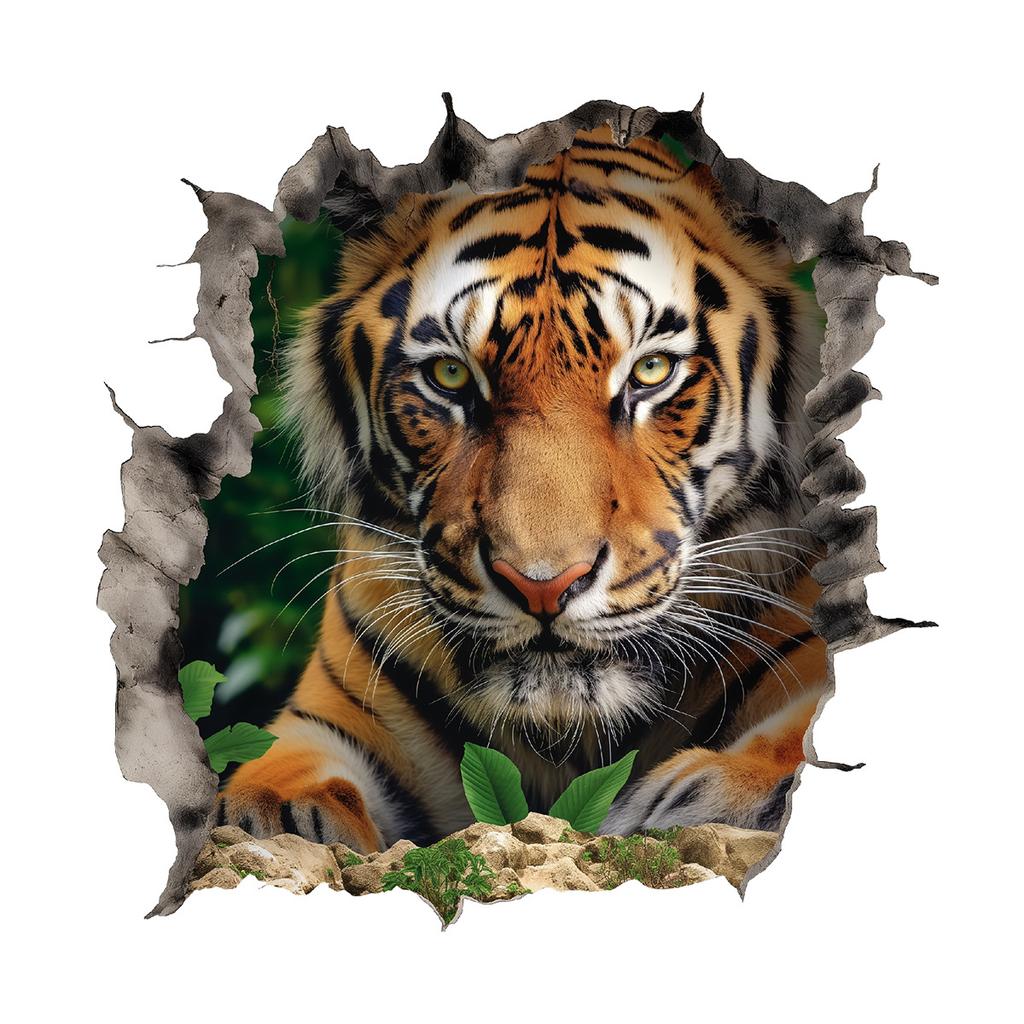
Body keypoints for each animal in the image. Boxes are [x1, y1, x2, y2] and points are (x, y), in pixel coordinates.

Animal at [218, 125, 829, 852]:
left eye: (652, 370)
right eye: (451, 376)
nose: (543, 586)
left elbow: (803, 733)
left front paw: (698, 795)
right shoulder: (329, 712)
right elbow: (275, 770)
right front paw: (277, 818)